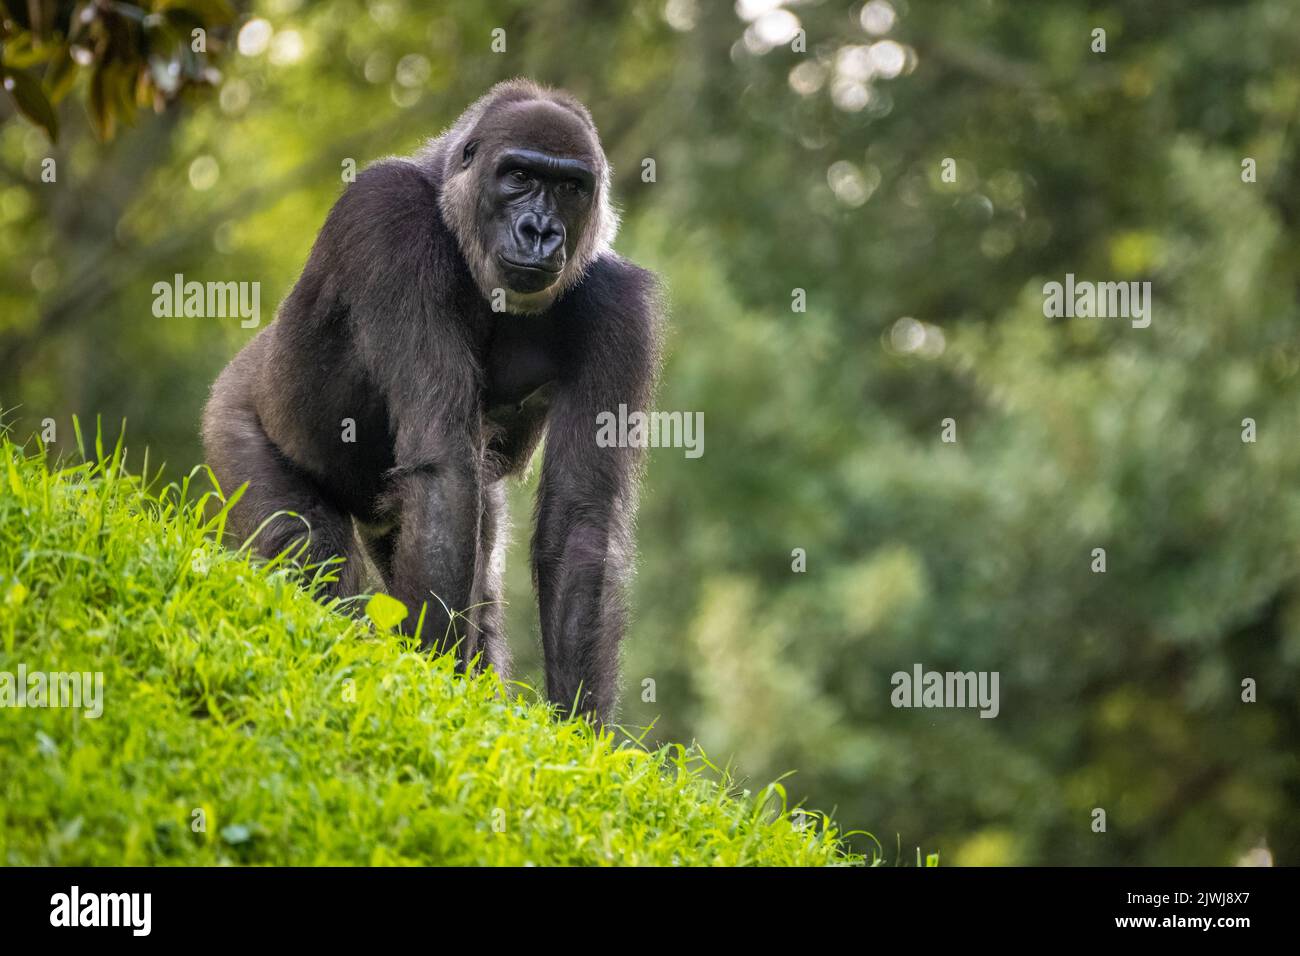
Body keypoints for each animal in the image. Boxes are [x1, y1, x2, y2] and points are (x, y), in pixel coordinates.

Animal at [208, 82, 665, 723]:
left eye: (571, 187)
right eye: (519, 175)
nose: (541, 231)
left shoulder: (618, 307)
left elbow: (580, 523)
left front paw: (579, 729)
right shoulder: (387, 215)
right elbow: (445, 462)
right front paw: (424, 690)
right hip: (234, 410)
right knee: (303, 544)